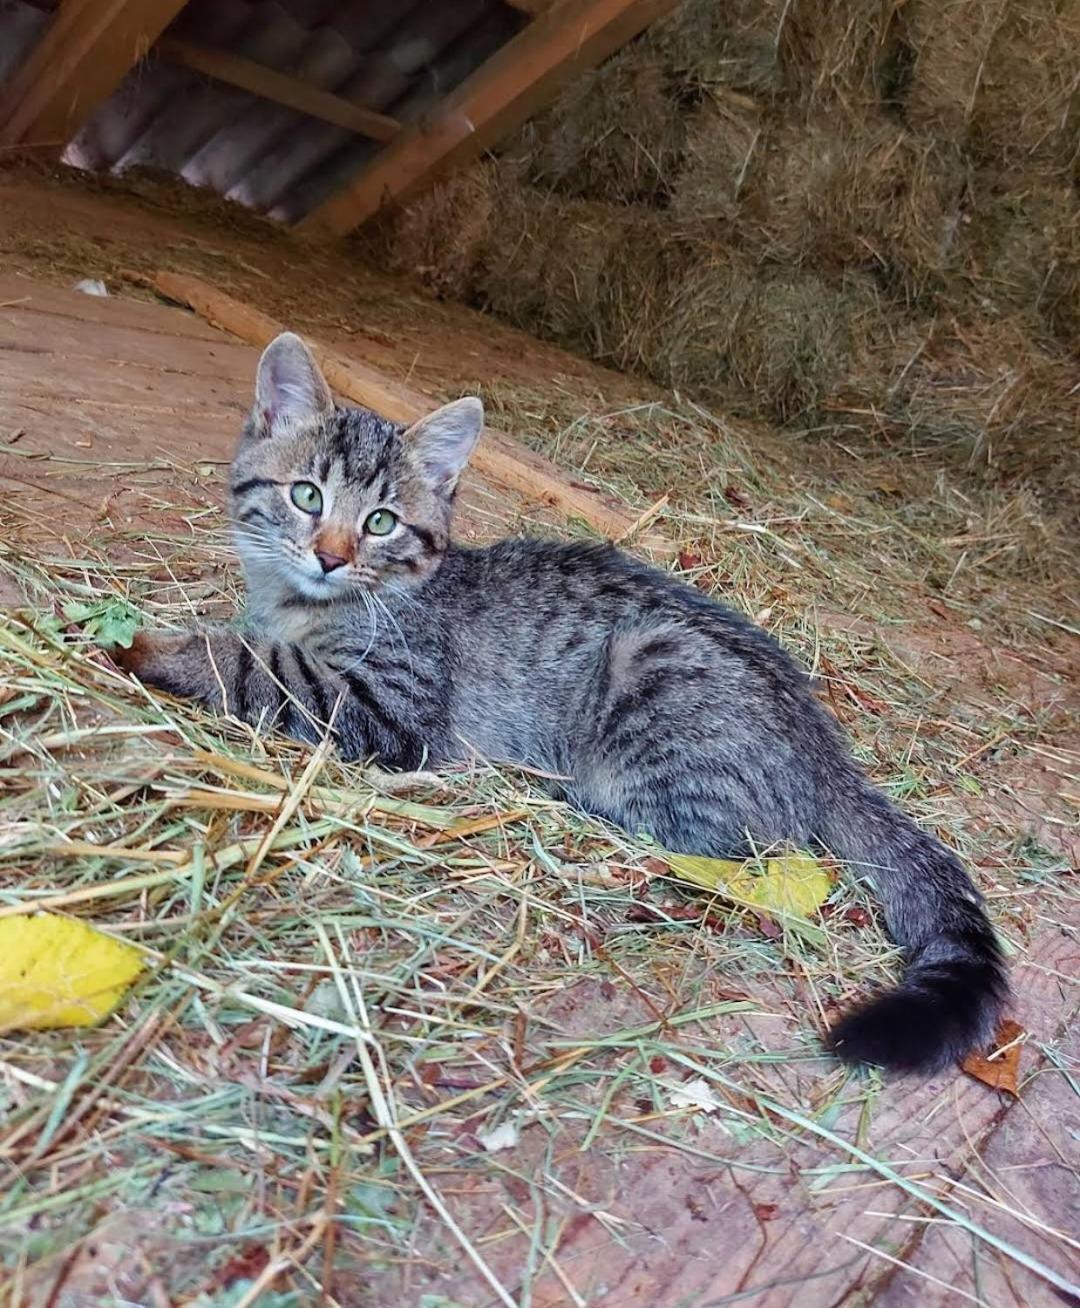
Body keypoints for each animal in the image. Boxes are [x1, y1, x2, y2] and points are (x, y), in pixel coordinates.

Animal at [113, 332, 1004, 1067]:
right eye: (306, 497)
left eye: (381, 522)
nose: (330, 557)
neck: (311, 603)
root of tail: (827, 746)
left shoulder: (385, 703)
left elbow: (254, 664)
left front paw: (154, 646)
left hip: (654, 670)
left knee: (730, 840)